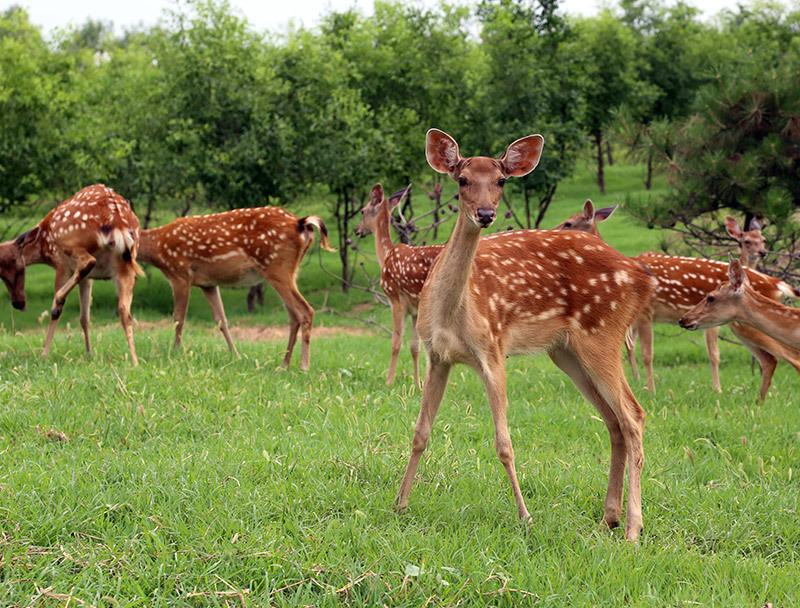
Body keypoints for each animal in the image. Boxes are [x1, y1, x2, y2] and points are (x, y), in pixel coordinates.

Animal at [0, 185, 142, 364]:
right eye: (1, 275)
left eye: (20, 269)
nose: (18, 303)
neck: (43, 247)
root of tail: (117, 222)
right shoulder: (87, 279)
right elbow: (84, 318)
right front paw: (89, 354)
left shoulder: (61, 265)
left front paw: (43, 355)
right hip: (125, 263)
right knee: (124, 309)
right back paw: (135, 362)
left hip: (68, 240)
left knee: (88, 262)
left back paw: (57, 303)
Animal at [138, 208, 334, 370]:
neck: (156, 246)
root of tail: (302, 222)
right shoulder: (208, 283)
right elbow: (221, 320)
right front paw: (236, 356)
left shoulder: (180, 273)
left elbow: (179, 318)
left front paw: (175, 353)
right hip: (290, 272)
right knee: (293, 315)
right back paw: (284, 364)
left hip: (277, 267)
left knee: (305, 310)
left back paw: (303, 366)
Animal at [356, 183, 444, 390]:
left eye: (362, 211)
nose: (357, 230)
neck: (385, 255)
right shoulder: (414, 309)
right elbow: (414, 347)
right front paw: (418, 385)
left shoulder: (395, 298)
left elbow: (396, 343)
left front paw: (389, 381)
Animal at [396, 129, 656, 540]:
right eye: (461, 180)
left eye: (501, 180)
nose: (486, 214)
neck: (451, 311)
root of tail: (642, 278)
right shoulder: (436, 355)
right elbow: (421, 431)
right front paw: (400, 505)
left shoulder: (492, 349)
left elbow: (504, 443)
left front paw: (525, 517)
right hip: (566, 351)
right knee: (613, 421)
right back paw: (608, 517)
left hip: (603, 334)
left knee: (634, 416)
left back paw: (632, 528)